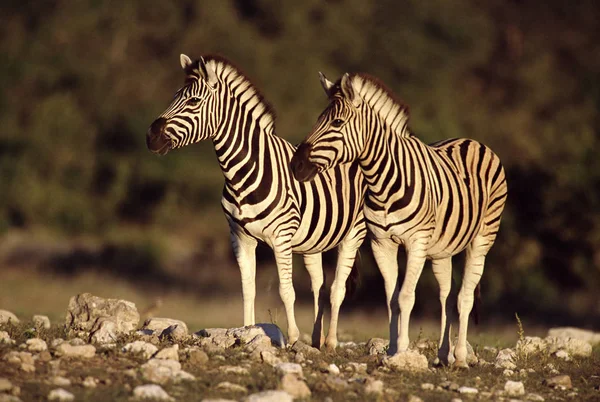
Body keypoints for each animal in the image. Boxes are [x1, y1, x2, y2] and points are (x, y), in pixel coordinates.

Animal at [148, 54, 368, 348]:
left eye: (193, 101)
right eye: (174, 96)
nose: (151, 137)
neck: (242, 172)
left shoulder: (281, 237)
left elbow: (286, 290)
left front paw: (292, 338)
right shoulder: (240, 237)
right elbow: (248, 287)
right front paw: (246, 330)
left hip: (354, 234)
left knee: (337, 288)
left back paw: (330, 341)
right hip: (312, 242)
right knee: (319, 284)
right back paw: (317, 338)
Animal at [290, 72, 506, 368]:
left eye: (337, 123)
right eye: (318, 120)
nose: (295, 166)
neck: (383, 181)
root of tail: (473, 141)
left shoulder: (416, 242)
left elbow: (405, 296)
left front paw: (402, 349)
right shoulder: (382, 243)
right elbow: (391, 298)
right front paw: (392, 350)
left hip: (482, 239)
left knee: (464, 297)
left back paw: (460, 357)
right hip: (442, 249)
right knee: (447, 295)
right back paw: (443, 354)